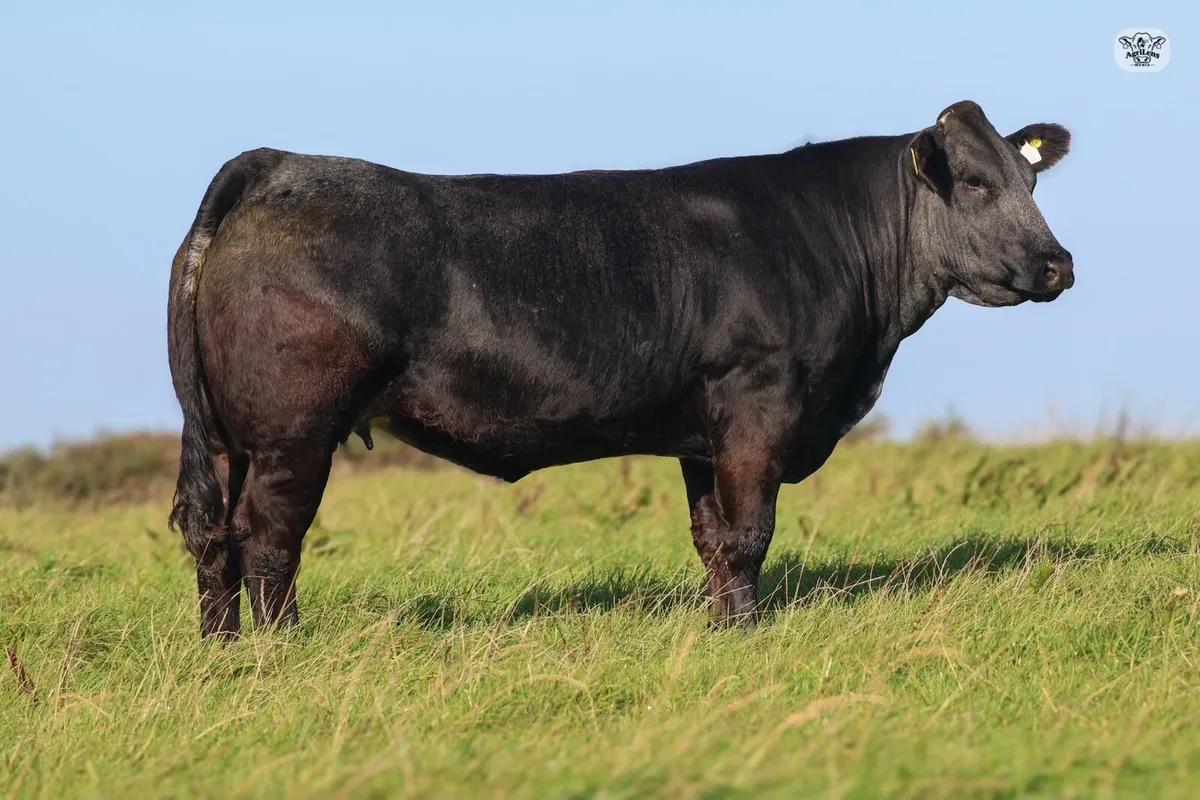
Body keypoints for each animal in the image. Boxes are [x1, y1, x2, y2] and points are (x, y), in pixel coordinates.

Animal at [167, 100, 1074, 639]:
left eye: (1031, 180)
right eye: (978, 184)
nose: (1058, 264)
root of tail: (283, 163)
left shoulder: (703, 434)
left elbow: (714, 539)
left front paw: (722, 627)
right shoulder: (759, 407)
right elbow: (751, 533)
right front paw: (746, 634)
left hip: (226, 435)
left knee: (214, 538)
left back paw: (224, 648)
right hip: (292, 429)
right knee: (268, 536)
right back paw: (281, 644)